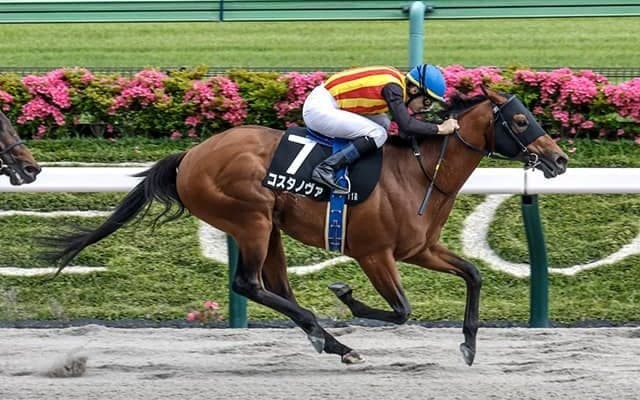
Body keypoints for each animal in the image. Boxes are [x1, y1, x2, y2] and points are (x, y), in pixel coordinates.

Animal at [44, 87, 568, 366]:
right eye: (521, 120)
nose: (560, 159)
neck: (420, 172)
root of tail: (190, 155)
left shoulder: (419, 249)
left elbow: (473, 275)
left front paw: (469, 345)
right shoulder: (373, 253)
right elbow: (400, 310)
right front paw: (345, 296)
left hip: (268, 227)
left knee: (273, 286)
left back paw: (327, 339)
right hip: (249, 218)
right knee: (248, 283)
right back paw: (330, 335)